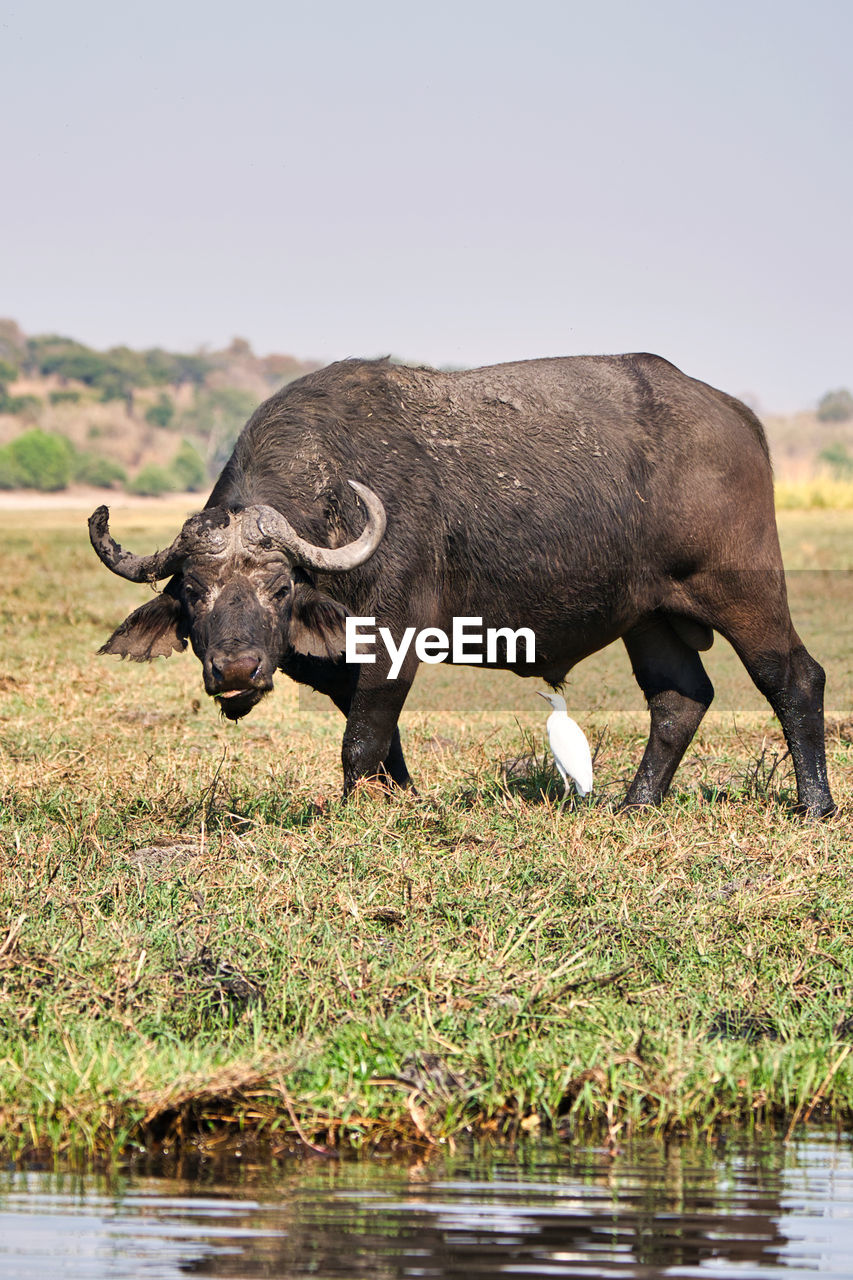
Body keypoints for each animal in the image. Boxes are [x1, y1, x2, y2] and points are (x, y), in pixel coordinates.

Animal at [89, 353, 835, 808]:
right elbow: (381, 740)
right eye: (194, 593)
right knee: (680, 699)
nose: (237, 669)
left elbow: (360, 740)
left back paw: (814, 806)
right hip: (649, 616)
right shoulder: (342, 667)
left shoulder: (393, 639)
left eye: (278, 588)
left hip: (744, 591)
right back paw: (635, 804)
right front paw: (399, 802)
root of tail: (737, 417)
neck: (337, 500)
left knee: (794, 678)